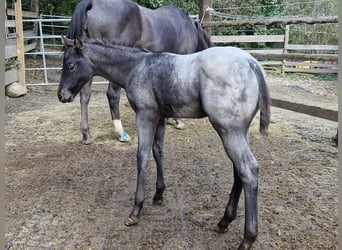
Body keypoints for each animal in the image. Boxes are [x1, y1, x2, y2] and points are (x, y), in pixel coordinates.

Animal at [60, 0, 212, 144]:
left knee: (85, 96)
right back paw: (121, 133)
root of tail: (92, 3)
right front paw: (177, 121)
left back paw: (86, 134)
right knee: (112, 95)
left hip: (87, 68)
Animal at [60, 37, 272, 250]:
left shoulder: (145, 115)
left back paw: (247, 239)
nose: (61, 96)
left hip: (229, 130)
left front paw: (136, 210)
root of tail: (251, 63)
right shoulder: (160, 117)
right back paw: (224, 221)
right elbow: (158, 151)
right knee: (239, 170)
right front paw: (158, 195)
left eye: (70, 66)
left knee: (248, 169)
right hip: (239, 131)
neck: (136, 66)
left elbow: (142, 156)